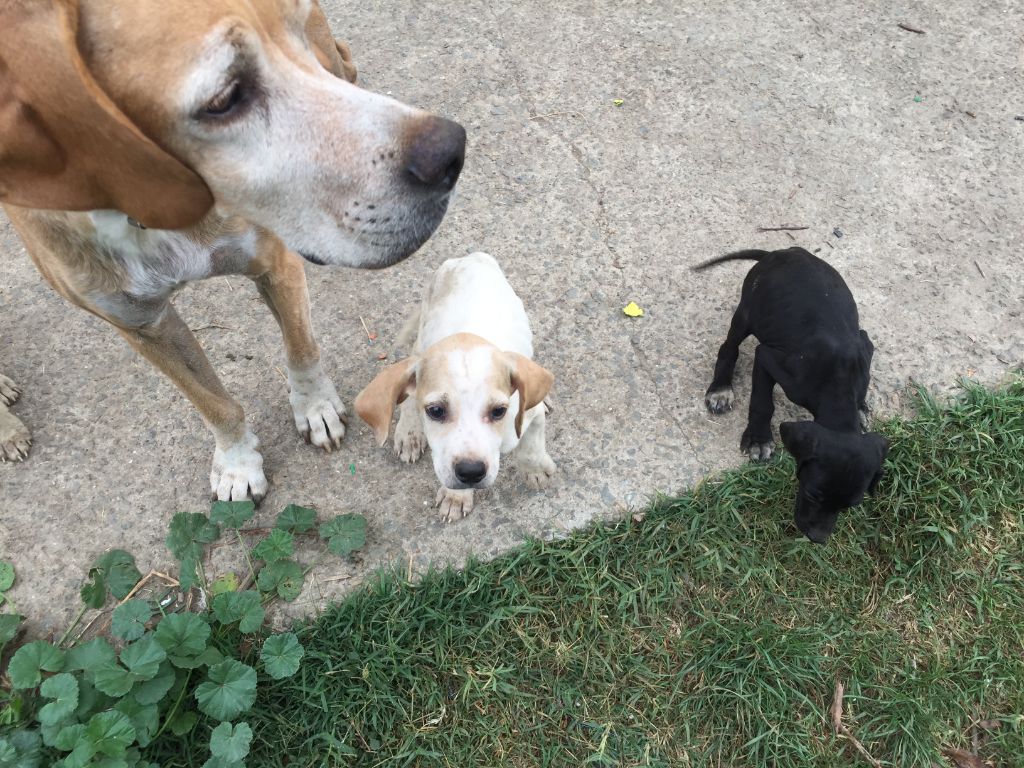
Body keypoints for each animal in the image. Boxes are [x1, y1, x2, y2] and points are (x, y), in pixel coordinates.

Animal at [0, 0, 464, 501]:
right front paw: (237, 463)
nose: (451, 151)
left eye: (294, 23)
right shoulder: (144, 327)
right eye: (223, 99)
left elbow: (302, 350)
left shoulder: (275, 264)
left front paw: (315, 407)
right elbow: (212, 402)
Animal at [356, 252, 557, 524]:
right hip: (422, 336)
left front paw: (535, 470)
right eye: (435, 411)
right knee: (407, 395)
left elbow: (531, 448)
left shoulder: (529, 418)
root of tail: (470, 256)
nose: (471, 472)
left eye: (499, 411)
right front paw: (457, 496)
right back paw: (410, 433)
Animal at [696, 249, 888, 544]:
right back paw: (720, 389)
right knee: (729, 347)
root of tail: (782, 252)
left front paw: (862, 408)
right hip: (748, 312)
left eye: (850, 506)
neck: (840, 383)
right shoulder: (769, 359)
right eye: (812, 493)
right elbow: (762, 403)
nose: (817, 539)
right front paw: (759, 439)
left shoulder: (866, 347)